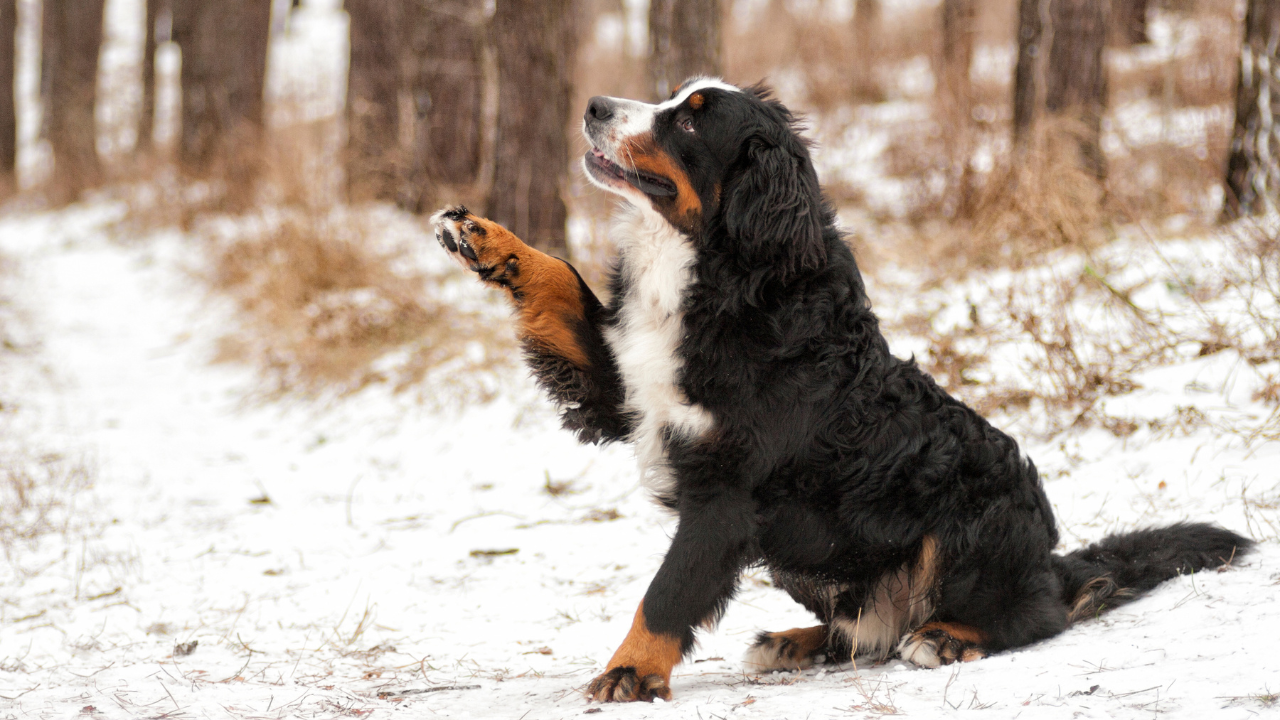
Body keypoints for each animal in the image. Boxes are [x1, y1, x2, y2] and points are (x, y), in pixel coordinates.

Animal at [427, 78, 1249, 702]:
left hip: (972, 521)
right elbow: (559, 281)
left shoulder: (727, 492)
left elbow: (667, 592)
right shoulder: (625, 389)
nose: (595, 104)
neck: (718, 267)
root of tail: (1050, 558)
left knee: (1035, 616)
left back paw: (946, 638)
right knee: (866, 634)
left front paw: (629, 673)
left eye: (690, 117)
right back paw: (795, 641)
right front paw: (487, 237)